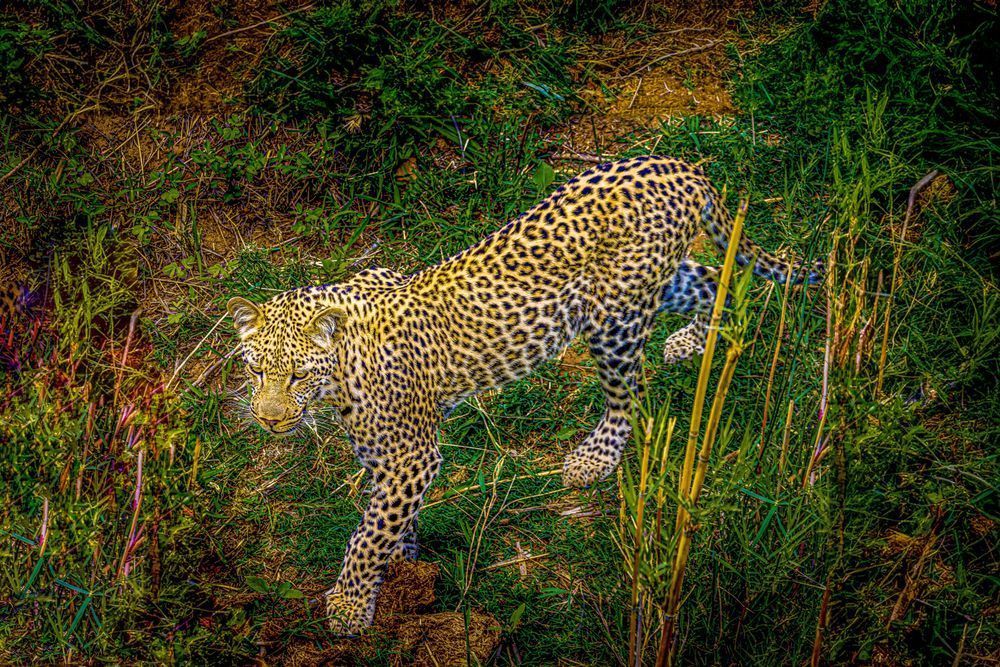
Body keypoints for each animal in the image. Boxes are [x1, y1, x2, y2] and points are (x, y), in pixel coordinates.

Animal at [226, 156, 821, 634]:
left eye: (297, 376)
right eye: (255, 371)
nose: (270, 420)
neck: (343, 367)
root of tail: (676, 165)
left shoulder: (412, 456)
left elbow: (368, 535)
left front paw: (351, 606)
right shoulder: (386, 458)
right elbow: (392, 523)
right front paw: (407, 574)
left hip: (615, 318)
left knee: (629, 392)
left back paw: (595, 456)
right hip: (656, 283)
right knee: (714, 279)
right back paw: (699, 339)